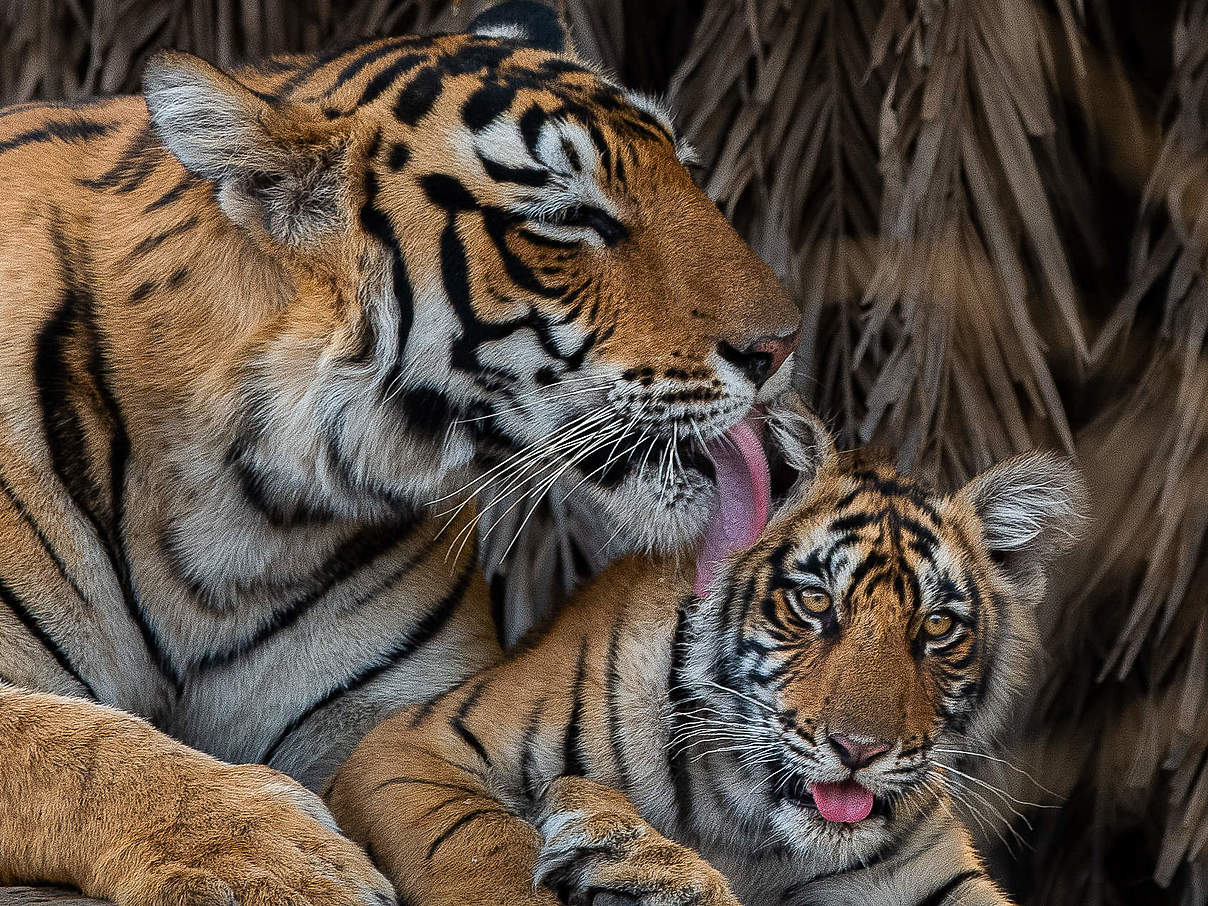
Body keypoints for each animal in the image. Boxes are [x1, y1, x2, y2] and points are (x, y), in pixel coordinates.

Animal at [0, 3, 797, 903]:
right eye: (569, 219)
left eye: (689, 175)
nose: (783, 344)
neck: (244, 517)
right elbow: (77, 748)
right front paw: (275, 858)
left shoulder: (404, 714)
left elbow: (482, 849)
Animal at [328, 401, 1087, 906]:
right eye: (815, 602)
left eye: (936, 628)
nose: (859, 750)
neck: (755, 830)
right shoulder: (410, 743)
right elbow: (482, 852)